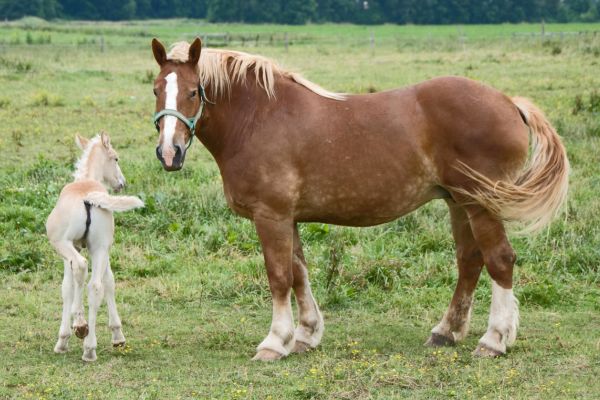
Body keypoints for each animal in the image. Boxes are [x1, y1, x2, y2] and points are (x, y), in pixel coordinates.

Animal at [47, 133, 144, 360]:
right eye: (116, 158)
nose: (121, 183)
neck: (86, 180)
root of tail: (88, 197)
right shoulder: (102, 249)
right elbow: (105, 282)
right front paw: (116, 336)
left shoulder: (70, 250)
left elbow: (67, 286)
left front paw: (65, 336)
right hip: (99, 248)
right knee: (95, 286)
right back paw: (90, 348)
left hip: (64, 244)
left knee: (81, 266)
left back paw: (82, 330)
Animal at [149, 39, 568, 360]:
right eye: (155, 90)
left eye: (193, 91)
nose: (169, 153)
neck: (260, 118)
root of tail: (509, 102)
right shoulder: (289, 218)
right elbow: (299, 273)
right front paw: (306, 334)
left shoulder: (271, 217)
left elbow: (279, 277)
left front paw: (274, 342)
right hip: (458, 202)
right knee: (470, 261)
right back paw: (446, 332)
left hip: (481, 202)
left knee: (499, 260)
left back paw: (494, 340)